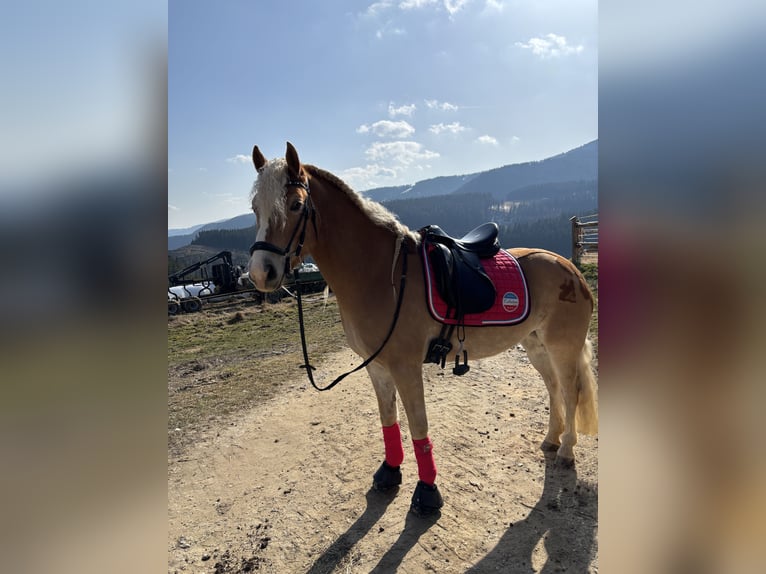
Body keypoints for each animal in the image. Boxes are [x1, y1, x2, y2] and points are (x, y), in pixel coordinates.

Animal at [247, 142, 598, 516]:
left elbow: (418, 426)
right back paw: (551, 439)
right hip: (536, 346)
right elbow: (388, 420)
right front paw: (389, 471)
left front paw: (427, 491)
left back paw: (566, 450)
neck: (380, 274)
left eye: (296, 205)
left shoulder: (406, 366)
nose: (260, 273)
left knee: (570, 391)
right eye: (255, 208)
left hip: (562, 348)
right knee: (554, 388)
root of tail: (570, 269)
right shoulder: (377, 367)